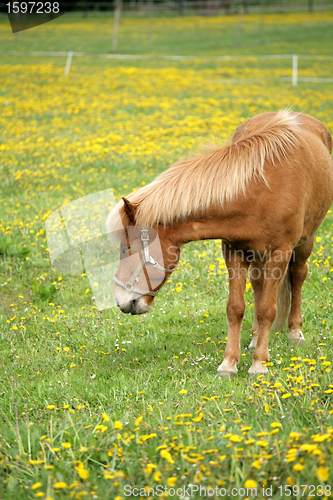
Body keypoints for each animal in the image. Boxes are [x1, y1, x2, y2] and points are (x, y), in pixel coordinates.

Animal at [106, 111, 332, 376]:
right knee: (258, 284)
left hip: (305, 242)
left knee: (297, 276)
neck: (258, 189)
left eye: (127, 248)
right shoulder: (233, 251)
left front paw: (259, 364)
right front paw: (229, 363)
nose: (120, 300)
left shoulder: (280, 254)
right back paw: (255, 337)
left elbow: (268, 309)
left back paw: (295, 332)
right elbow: (235, 308)